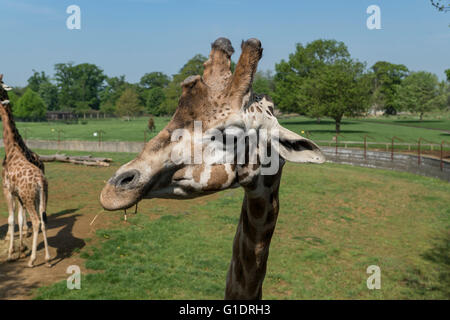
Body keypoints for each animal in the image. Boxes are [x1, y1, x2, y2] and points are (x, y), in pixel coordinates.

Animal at [0, 74, 51, 268]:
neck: (12, 149)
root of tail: (40, 180)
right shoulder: (18, 195)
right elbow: (20, 218)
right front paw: (20, 248)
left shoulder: (7, 189)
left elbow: (12, 218)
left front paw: (10, 253)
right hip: (40, 197)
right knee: (42, 220)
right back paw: (47, 259)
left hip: (30, 198)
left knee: (36, 221)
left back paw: (32, 260)